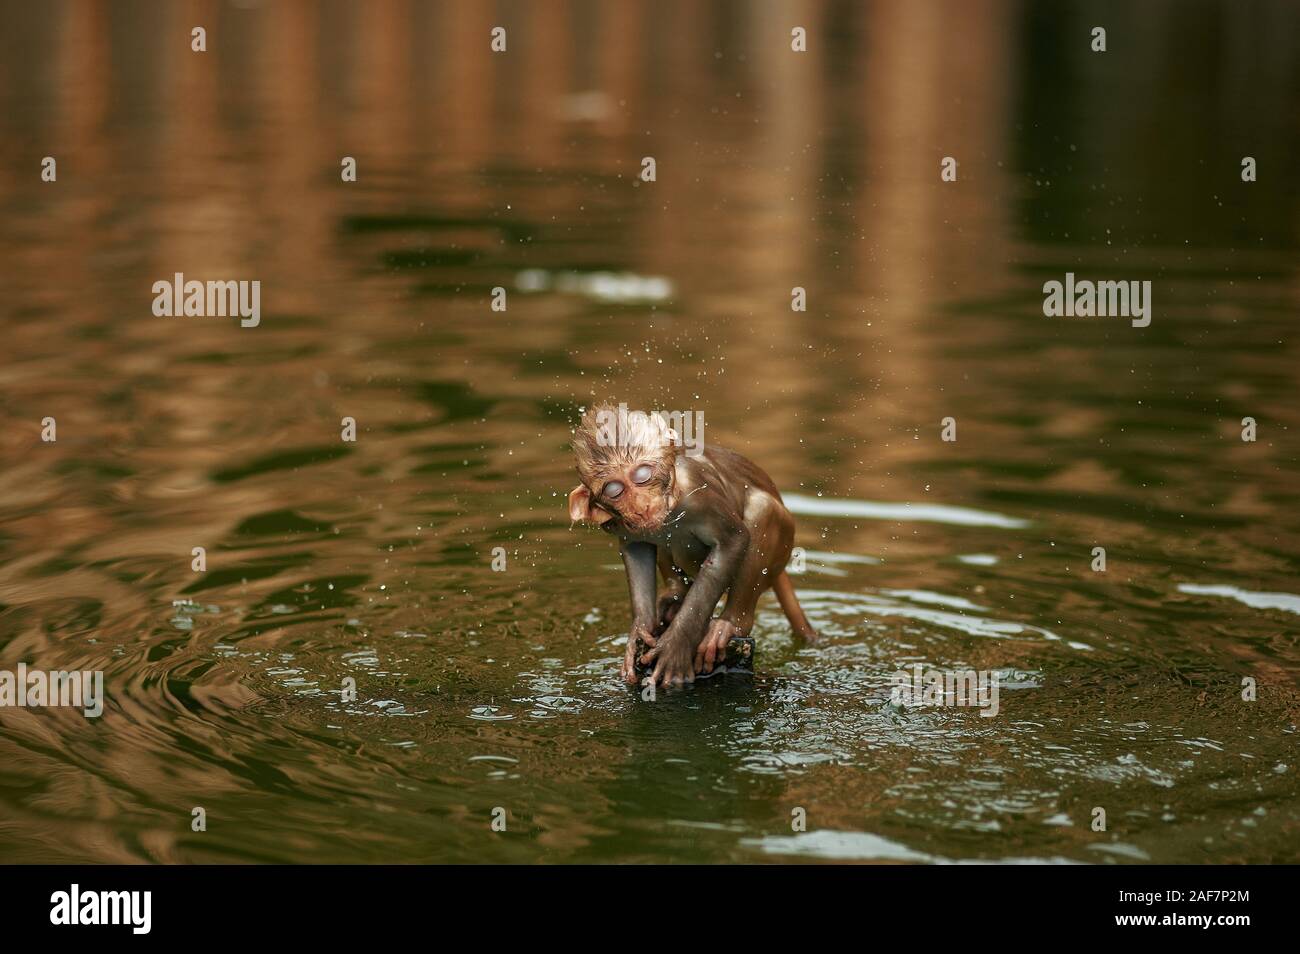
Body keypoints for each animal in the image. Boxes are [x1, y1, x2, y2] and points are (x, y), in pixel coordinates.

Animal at [566, 402, 816, 686]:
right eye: (614, 490)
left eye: (642, 475)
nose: (641, 507)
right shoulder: (619, 523)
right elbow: (636, 548)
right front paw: (640, 630)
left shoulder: (700, 493)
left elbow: (733, 540)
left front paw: (677, 645)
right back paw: (675, 595)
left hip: (783, 543)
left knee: (762, 509)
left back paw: (730, 623)